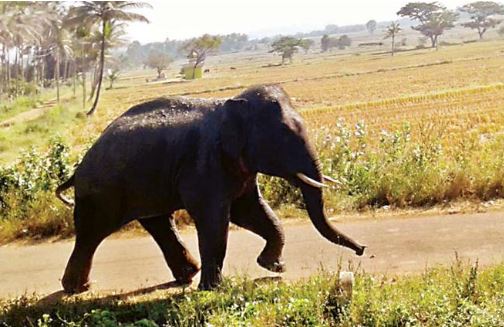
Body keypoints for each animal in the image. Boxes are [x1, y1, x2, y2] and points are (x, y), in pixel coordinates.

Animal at [56, 84, 366, 292]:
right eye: (284, 136)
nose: (362, 249)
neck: (231, 105)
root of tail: (78, 168)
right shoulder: (204, 162)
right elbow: (216, 219)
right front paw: (214, 290)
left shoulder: (238, 167)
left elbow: (251, 212)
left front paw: (273, 266)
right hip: (101, 190)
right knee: (92, 232)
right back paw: (78, 289)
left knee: (158, 222)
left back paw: (186, 275)